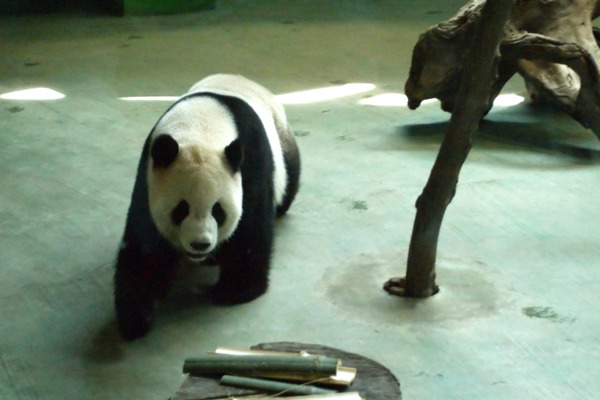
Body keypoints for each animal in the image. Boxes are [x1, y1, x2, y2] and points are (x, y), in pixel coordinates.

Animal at [113, 73, 300, 340]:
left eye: (218, 211)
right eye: (180, 210)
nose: (200, 244)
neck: (201, 127)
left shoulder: (250, 162)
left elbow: (250, 228)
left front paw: (235, 290)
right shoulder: (149, 173)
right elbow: (144, 245)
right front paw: (136, 316)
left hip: (282, 141)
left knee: (288, 181)